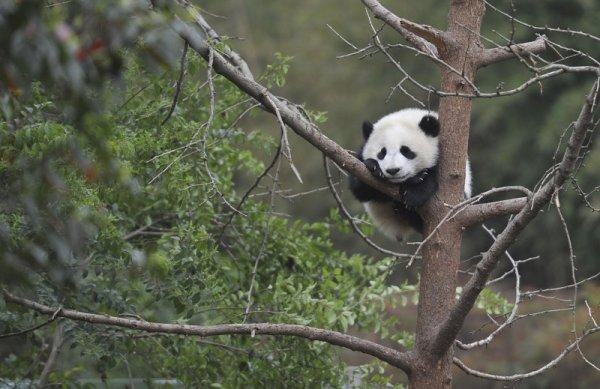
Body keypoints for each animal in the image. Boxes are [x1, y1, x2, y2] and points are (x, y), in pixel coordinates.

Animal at [350, 108, 472, 239]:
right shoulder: (361, 152)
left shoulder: (442, 156)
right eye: (382, 153)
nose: (393, 170)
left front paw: (415, 192)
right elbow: (359, 189)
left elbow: (433, 176)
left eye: (406, 151)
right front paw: (373, 167)